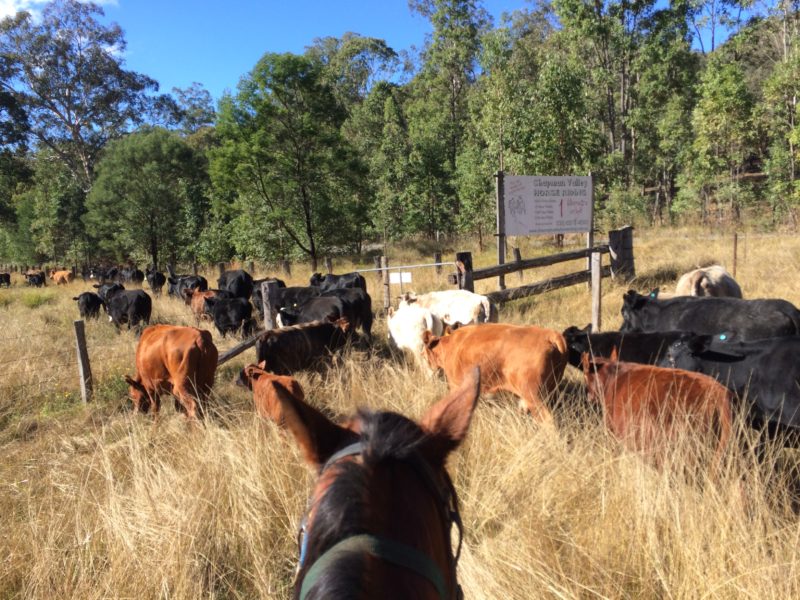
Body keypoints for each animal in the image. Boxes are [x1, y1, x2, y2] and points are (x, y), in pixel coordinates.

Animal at [422, 324, 564, 422]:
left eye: (423, 354)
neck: (451, 345)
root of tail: (549, 335)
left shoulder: (456, 387)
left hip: (534, 397)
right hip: (552, 392)